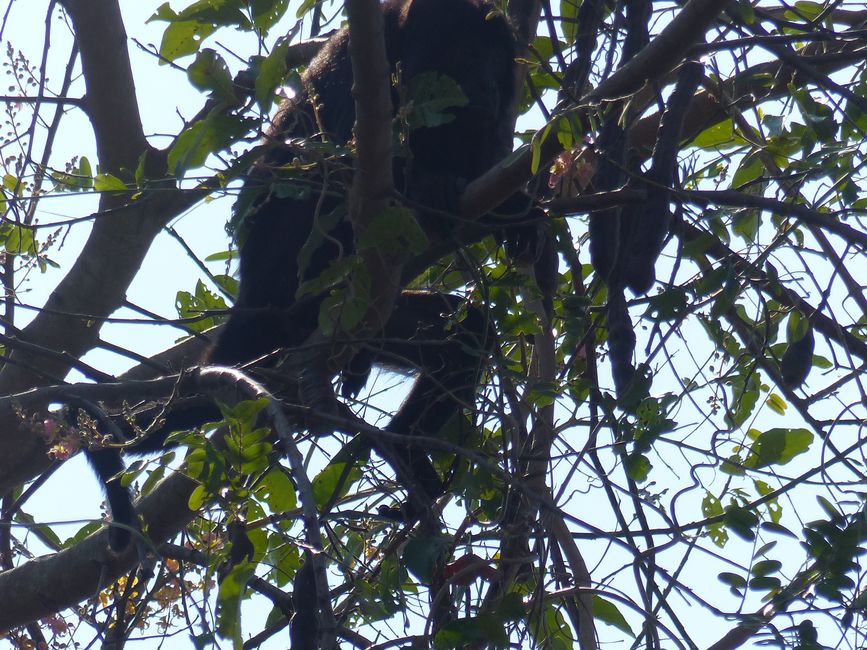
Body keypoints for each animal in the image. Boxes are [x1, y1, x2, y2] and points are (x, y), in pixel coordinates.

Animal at [88, 0, 524, 552]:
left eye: (496, 60)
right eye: (468, 53)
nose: (490, 87)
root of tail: (251, 299)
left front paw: (521, 213)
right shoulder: (362, 67)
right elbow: (332, 163)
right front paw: (433, 186)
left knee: (464, 335)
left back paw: (406, 452)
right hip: (294, 292)